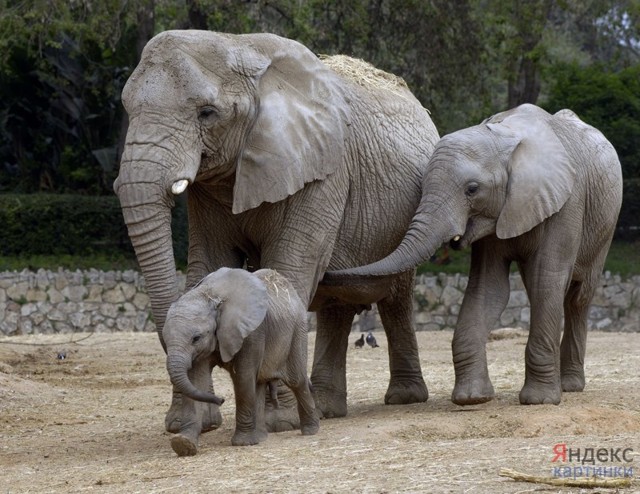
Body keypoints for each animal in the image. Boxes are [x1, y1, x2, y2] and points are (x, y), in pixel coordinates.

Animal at [112, 30, 438, 434]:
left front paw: (279, 422)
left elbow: (290, 266)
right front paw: (191, 424)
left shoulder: (324, 171)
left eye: (207, 113)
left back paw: (401, 399)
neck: (239, 46)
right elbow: (208, 265)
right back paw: (326, 407)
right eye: (127, 109)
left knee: (395, 297)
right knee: (336, 304)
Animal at [162, 266, 318, 456]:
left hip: (298, 330)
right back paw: (260, 437)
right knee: (259, 383)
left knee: (296, 381)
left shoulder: (252, 332)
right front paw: (183, 444)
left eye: (196, 338)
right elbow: (197, 381)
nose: (221, 399)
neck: (211, 295)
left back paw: (310, 431)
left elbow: (243, 378)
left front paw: (242, 443)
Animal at [322, 103, 624, 406]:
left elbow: (546, 281)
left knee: (578, 297)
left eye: (472, 189)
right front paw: (472, 398)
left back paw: (570, 385)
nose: (325, 274)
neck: (505, 135)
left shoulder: (567, 203)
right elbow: (489, 288)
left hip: (606, 225)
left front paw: (539, 401)